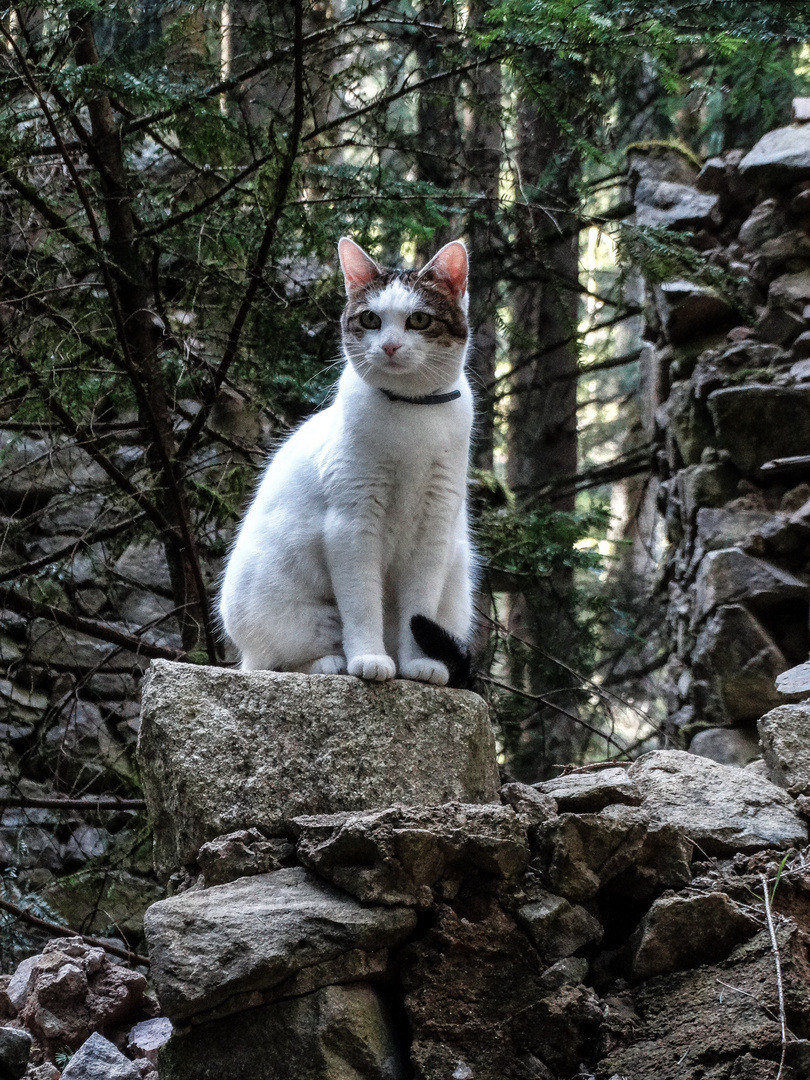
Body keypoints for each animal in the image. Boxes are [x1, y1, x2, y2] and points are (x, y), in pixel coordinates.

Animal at [222, 239, 475, 686]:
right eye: (371, 319)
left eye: (419, 320)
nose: (389, 346)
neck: (411, 414)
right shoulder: (353, 524)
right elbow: (362, 604)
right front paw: (369, 660)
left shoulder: (434, 527)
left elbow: (419, 607)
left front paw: (418, 666)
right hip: (298, 614)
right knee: (276, 661)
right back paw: (332, 663)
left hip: (456, 588)